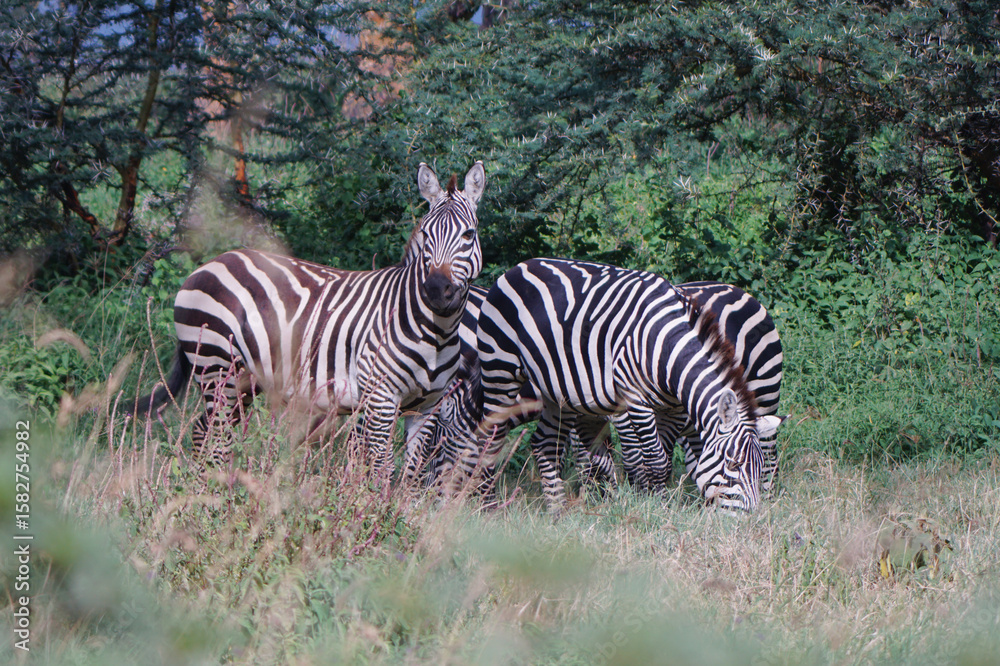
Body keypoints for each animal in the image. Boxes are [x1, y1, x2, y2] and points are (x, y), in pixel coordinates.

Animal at [127, 162, 486, 478]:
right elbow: (381, 468)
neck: (436, 331)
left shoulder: (427, 407)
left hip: (243, 379)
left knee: (205, 431)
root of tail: (210, 263)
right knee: (215, 434)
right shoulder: (381, 398)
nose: (436, 290)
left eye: (469, 235)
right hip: (216, 368)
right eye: (426, 234)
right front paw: (372, 509)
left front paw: (398, 511)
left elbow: (410, 474)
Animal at [463, 258, 782, 512]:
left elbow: (658, 459)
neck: (666, 347)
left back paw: (557, 511)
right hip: (500, 367)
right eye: (733, 465)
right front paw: (656, 506)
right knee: (491, 435)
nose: (750, 522)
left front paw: (646, 499)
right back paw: (488, 505)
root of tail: (520, 266)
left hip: (556, 390)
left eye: (751, 469)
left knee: (545, 444)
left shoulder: (673, 408)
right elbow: (653, 459)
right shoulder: (635, 399)